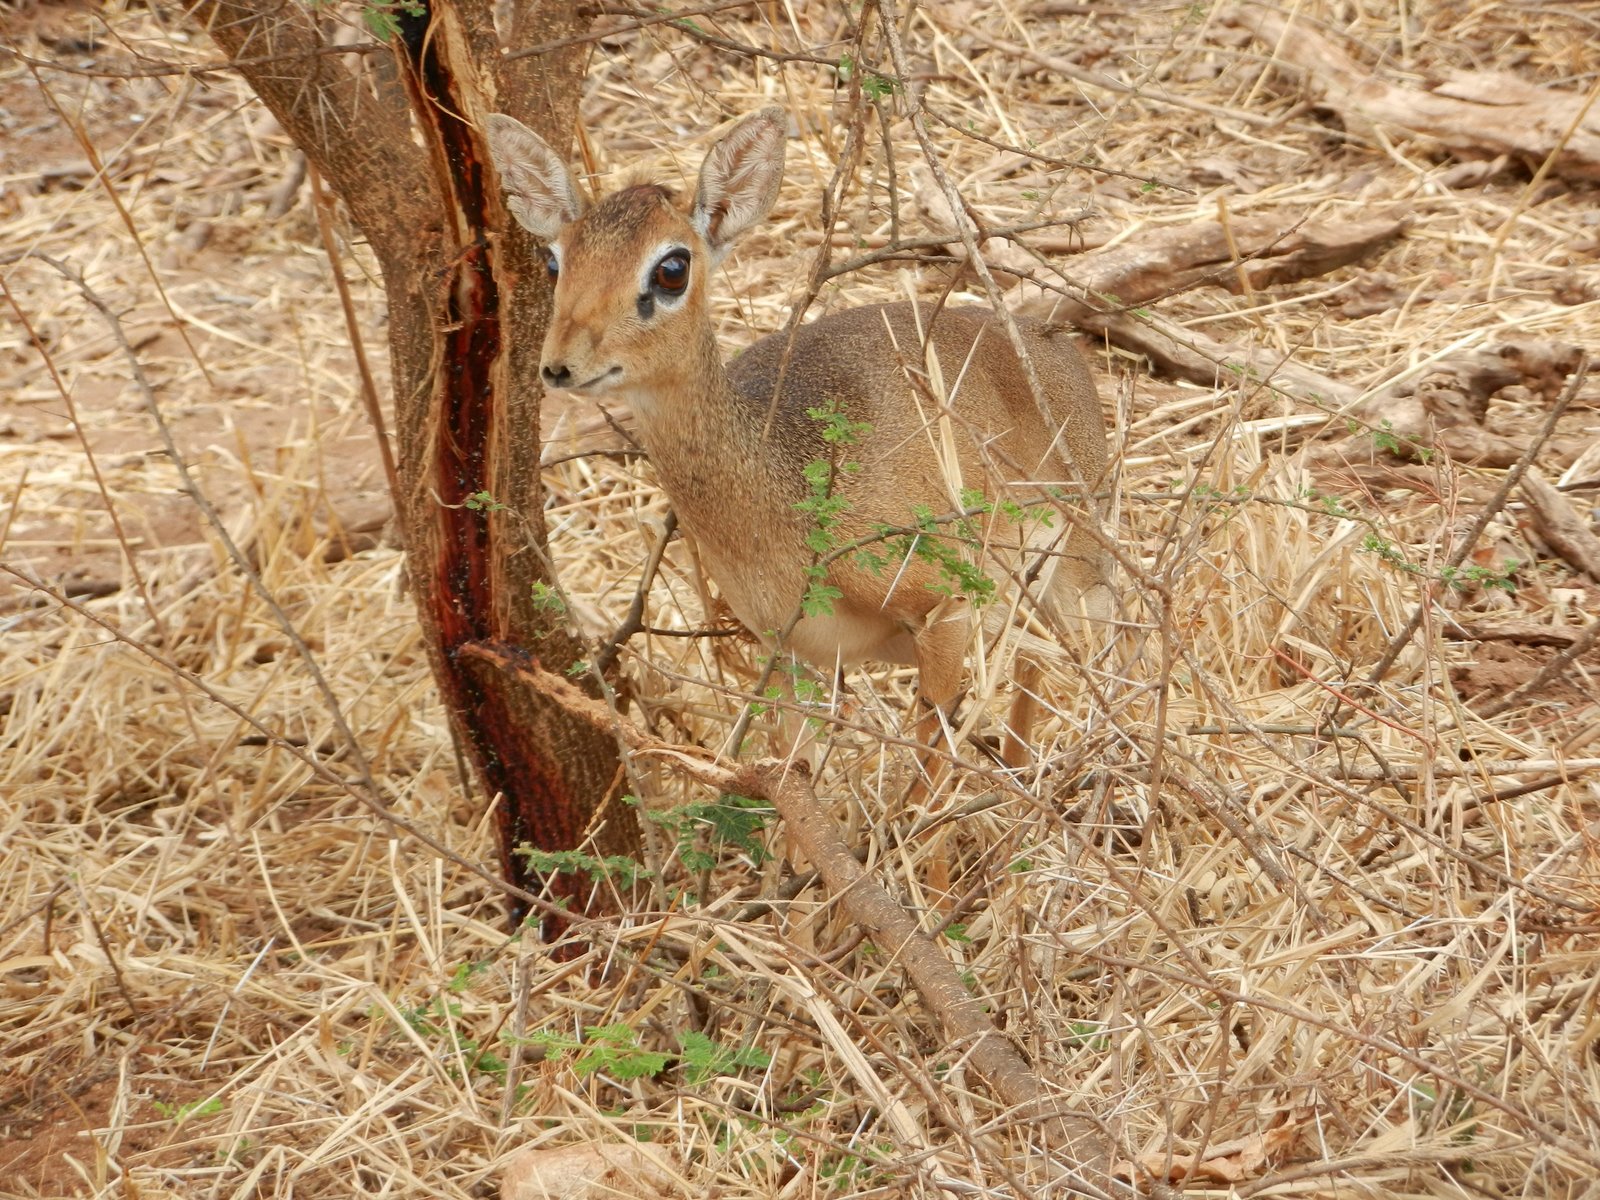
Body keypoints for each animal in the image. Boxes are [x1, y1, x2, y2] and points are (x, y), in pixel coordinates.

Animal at [485, 106, 1114, 774]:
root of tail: (1052, 343)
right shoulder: (787, 654)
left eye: (673, 267)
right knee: (1037, 665)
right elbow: (797, 770)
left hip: (1077, 577)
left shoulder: (943, 614)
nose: (560, 365)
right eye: (554, 261)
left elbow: (930, 759)